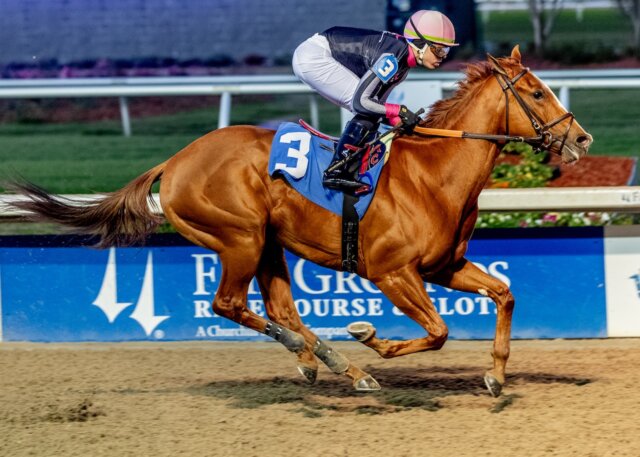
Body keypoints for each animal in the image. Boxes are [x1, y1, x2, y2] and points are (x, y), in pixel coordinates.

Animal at [7, 47, 592, 396]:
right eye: (536, 92)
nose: (581, 138)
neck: (434, 173)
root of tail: (173, 162)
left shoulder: (443, 266)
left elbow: (503, 295)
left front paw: (495, 376)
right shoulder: (391, 272)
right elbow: (439, 330)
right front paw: (372, 338)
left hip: (268, 242)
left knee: (280, 308)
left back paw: (328, 361)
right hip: (239, 237)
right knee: (230, 304)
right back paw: (330, 359)